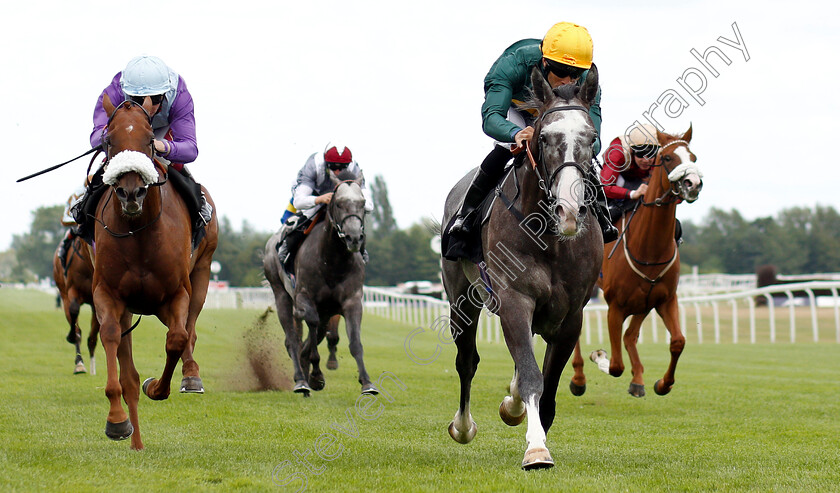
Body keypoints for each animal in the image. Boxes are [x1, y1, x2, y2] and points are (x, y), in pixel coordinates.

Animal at [51, 234, 97, 372]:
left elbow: (93, 336)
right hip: (63, 292)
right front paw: (72, 337)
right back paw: (79, 362)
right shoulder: (72, 290)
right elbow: (74, 310)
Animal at [90, 98, 218, 448]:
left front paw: (157, 387)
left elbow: (177, 338)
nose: (131, 192)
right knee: (128, 368)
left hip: (201, 273)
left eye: (150, 140)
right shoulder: (108, 294)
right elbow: (111, 340)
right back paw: (135, 441)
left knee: (190, 330)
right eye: (109, 140)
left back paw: (191, 375)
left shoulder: (176, 293)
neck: (139, 233)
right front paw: (116, 420)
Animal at [440, 66, 604, 468]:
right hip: (461, 300)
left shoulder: (571, 315)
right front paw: (537, 450)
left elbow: (547, 386)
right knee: (466, 361)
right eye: (544, 138)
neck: (549, 236)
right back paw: (463, 427)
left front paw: (533, 429)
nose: (569, 210)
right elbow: (531, 376)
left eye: (591, 138)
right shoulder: (514, 299)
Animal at [572, 126, 704, 396]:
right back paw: (578, 378)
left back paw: (638, 380)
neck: (649, 250)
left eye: (693, 157)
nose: (693, 183)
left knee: (630, 336)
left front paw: (662, 384)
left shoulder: (664, 299)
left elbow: (678, 341)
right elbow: (615, 365)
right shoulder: (615, 306)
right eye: (667, 158)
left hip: (643, 302)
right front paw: (598, 355)